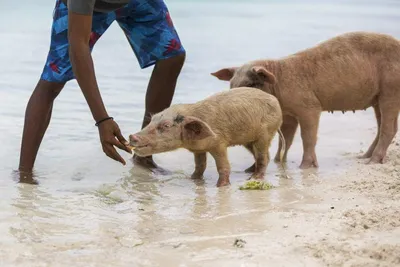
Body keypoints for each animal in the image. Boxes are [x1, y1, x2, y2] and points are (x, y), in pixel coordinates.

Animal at [128, 87, 284, 187]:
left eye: (166, 126)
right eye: (152, 119)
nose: (132, 136)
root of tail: (276, 102)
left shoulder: (219, 144)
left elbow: (223, 166)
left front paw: (220, 186)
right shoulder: (198, 150)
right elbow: (200, 165)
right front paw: (192, 179)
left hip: (265, 134)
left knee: (262, 156)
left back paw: (255, 178)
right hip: (249, 140)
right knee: (264, 156)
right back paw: (248, 171)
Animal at [211, 31, 400, 170]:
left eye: (251, 84)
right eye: (232, 84)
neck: (279, 83)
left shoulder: (310, 107)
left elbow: (307, 136)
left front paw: (304, 167)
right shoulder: (288, 114)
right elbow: (286, 138)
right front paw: (278, 162)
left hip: (391, 90)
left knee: (388, 128)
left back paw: (372, 161)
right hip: (377, 98)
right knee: (383, 127)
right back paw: (364, 156)